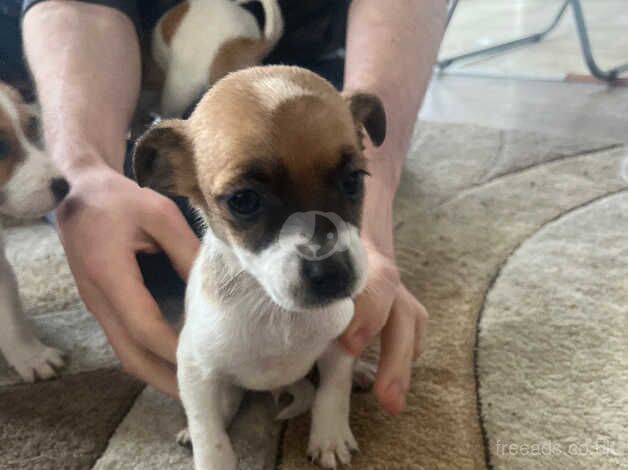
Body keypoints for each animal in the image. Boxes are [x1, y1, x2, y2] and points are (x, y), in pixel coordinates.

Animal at [135, 66, 386, 470]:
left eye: (354, 180)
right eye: (244, 201)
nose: (332, 275)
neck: (274, 310)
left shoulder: (338, 346)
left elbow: (333, 392)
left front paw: (329, 436)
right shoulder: (196, 371)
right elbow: (210, 435)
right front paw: (210, 453)